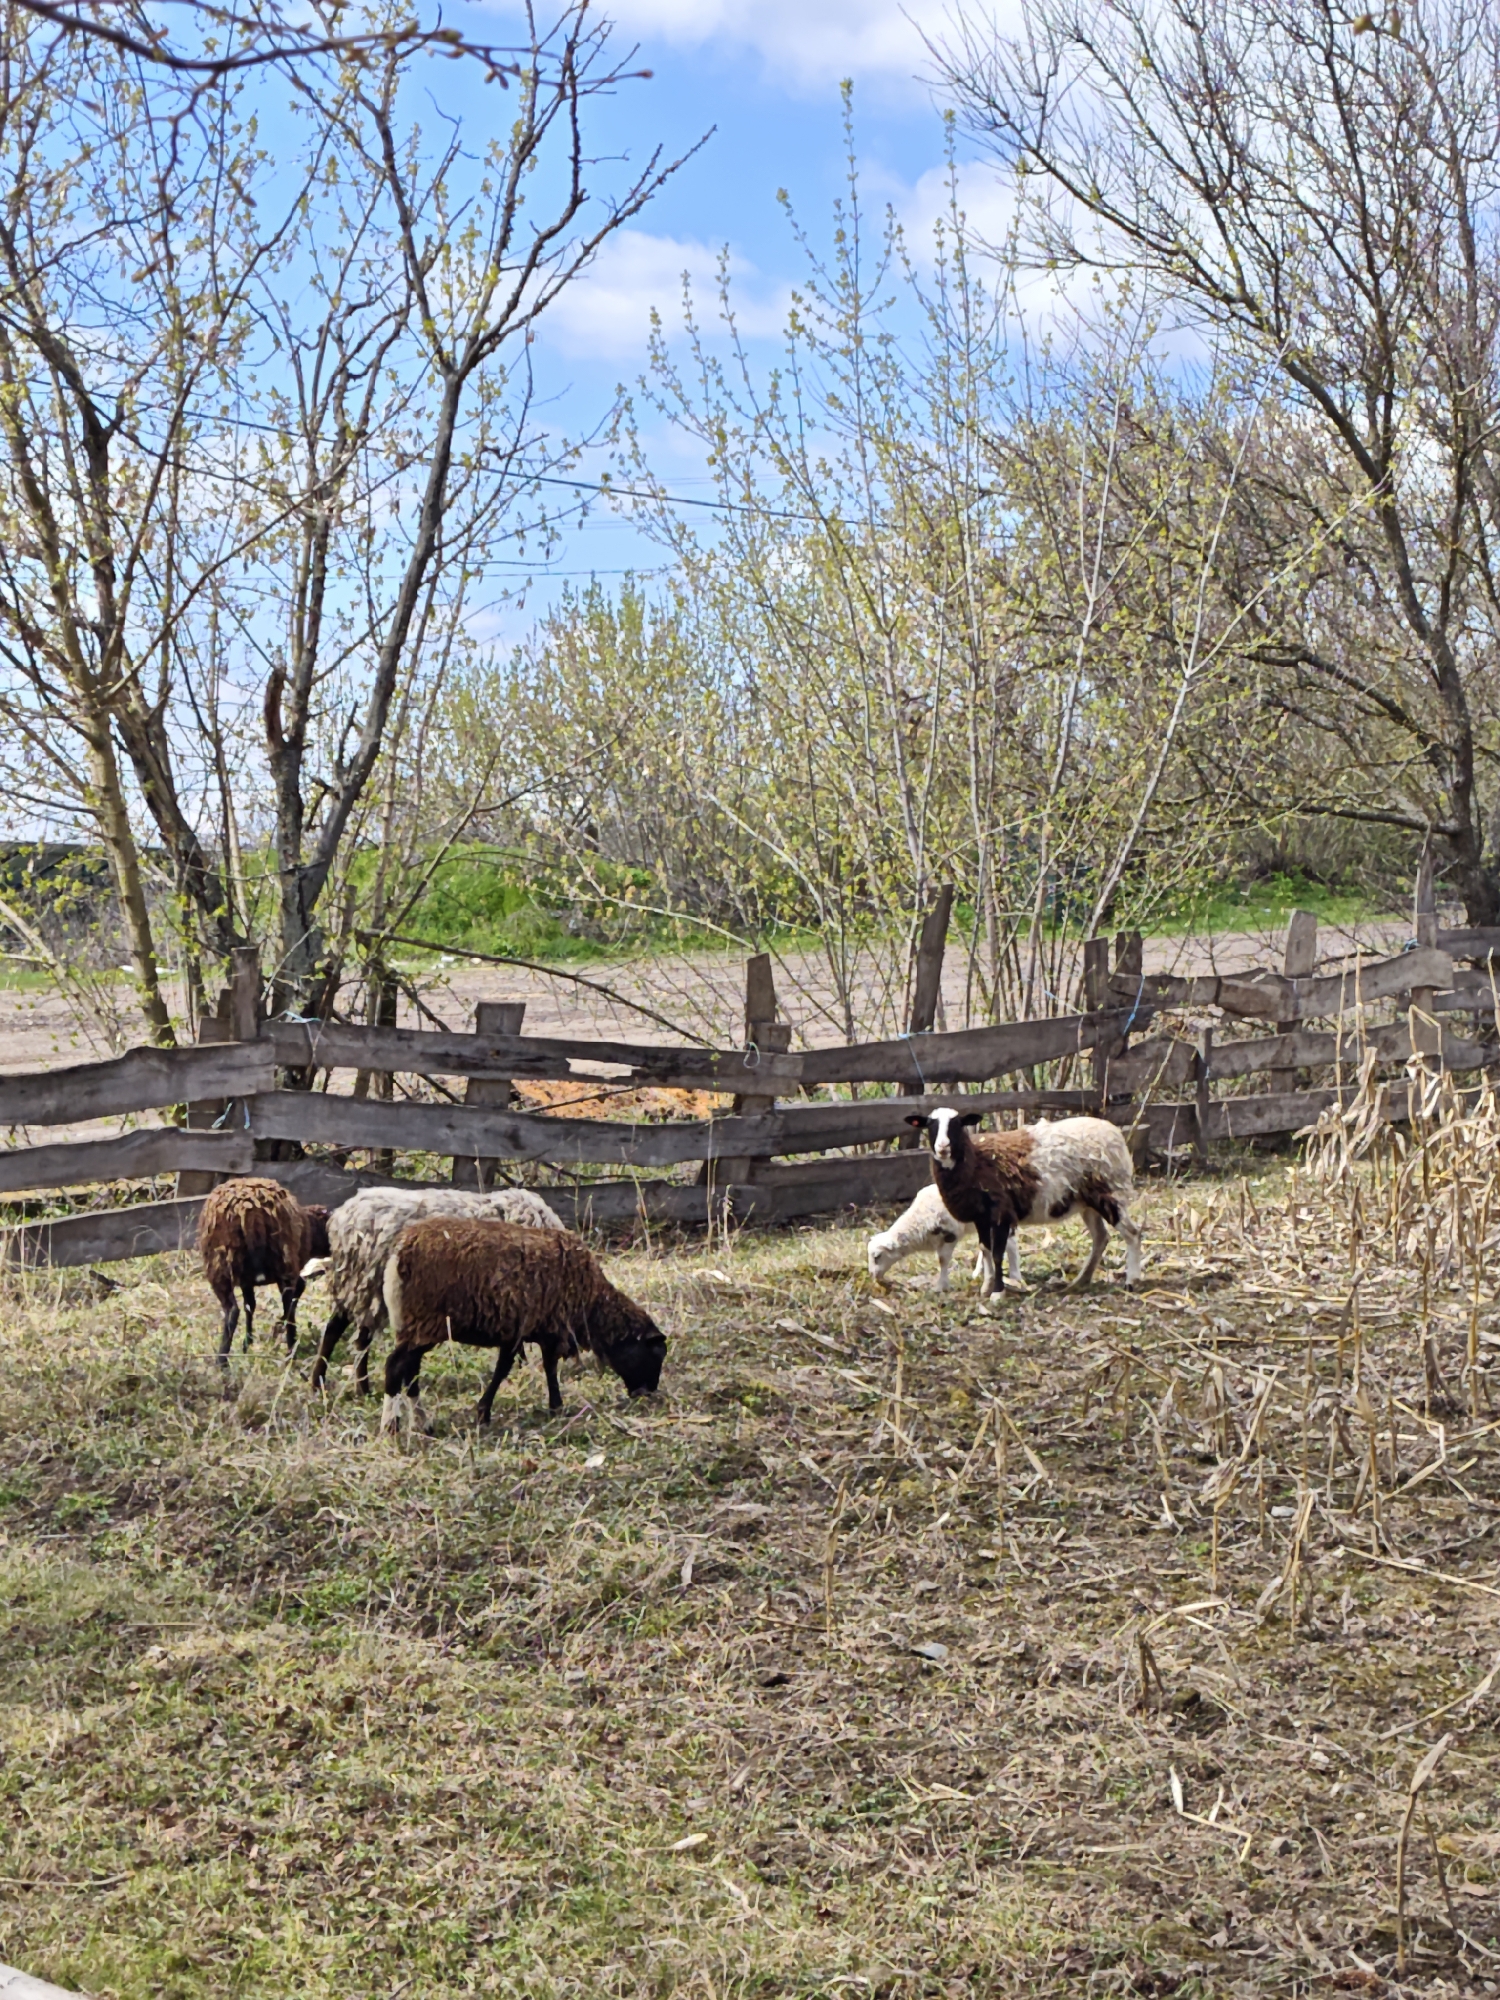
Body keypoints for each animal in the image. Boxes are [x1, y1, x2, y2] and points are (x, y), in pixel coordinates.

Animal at [198, 1177, 332, 1362]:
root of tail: (249, 1212)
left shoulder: (247, 1280)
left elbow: (250, 1305)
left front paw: (248, 1344)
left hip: (220, 1267)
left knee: (233, 1310)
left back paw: (222, 1361)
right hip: (282, 1264)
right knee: (286, 1305)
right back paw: (290, 1350)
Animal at [308, 1184, 564, 1395]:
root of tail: (341, 1216)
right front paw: (523, 1370)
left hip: (359, 1285)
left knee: (342, 1330)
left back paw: (327, 1383)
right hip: (364, 1281)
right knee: (352, 1335)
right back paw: (351, 1386)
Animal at [379, 1217, 666, 1432]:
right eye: (655, 1355)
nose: (648, 1393)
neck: (592, 1303)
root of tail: (399, 1253)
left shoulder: (517, 1331)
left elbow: (507, 1369)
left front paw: (484, 1412)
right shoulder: (547, 1329)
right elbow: (540, 1368)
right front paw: (555, 1406)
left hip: (416, 1325)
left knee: (410, 1371)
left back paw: (422, 1424)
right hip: (423, 1321)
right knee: (395, 1367)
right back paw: (390, 1426)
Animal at [867, 1182, 1021, 1290]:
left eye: (877, 1257)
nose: (873, 1276)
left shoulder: (951, 1235)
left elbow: (943, 1259)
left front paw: (941, 1286)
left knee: (1011, 1243)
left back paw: (1015, 1276)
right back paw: (978, 1272)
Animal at [904, 1110, 1142, 1297]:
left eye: (957, 1124)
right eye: (930, 1124)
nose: (943, 1147)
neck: (975, 1161)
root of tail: (1115, 1133)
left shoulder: (1001, 1212)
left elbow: (997, 1253)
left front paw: (997, 1292)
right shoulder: (981, 1216)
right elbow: (985, 1250)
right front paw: (986, 1287)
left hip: (1110, 1192)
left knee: (1132, 1233)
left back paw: (1132, 1280)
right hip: (1088, 1202)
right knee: (1101, 1237)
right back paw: (1080, 1281)